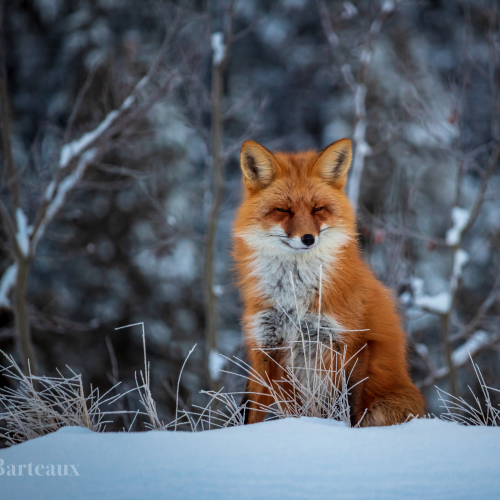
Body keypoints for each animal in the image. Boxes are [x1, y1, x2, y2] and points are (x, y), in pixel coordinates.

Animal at [234, 138, 426, 426]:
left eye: (318, 209)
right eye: (283, 210)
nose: (308, 238)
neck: (294, 297)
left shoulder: (347, 344)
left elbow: (342, 409)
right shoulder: (265, 346)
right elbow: (252, 414)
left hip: (388, 405)